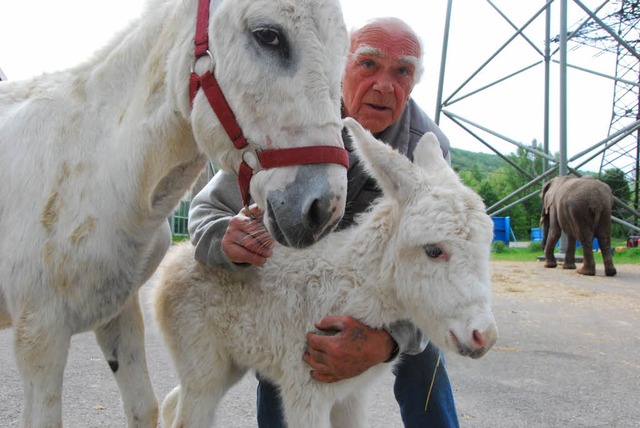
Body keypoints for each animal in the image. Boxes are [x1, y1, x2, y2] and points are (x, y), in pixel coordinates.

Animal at [0, 1, 350, 426]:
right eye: (268, 35)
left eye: (342, 55)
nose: (324, 209)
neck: (94, 163)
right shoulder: (39, 334)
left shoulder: (119, 311)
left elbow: (143, 408)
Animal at [152, 118, 498, 428]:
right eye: (433, 250)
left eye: (487, 246)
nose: (485, 337)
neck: (352, 285)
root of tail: (174, 260)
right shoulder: (305, 392)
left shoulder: (352, 394)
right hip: (202, 363)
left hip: (228, 366)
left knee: (171, 404)